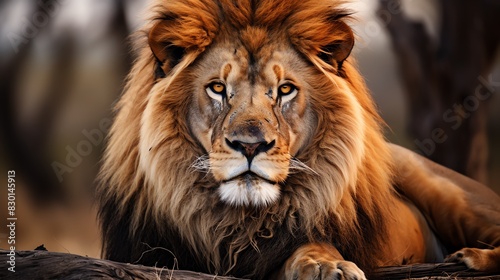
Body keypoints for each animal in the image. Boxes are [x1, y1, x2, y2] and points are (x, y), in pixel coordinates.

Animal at [98, 1, 500, 278]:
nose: (250, 146)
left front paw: (327, 266)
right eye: (218, 88)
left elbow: (308, 244)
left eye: (285, 90)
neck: (241, 221)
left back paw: (472, 256)